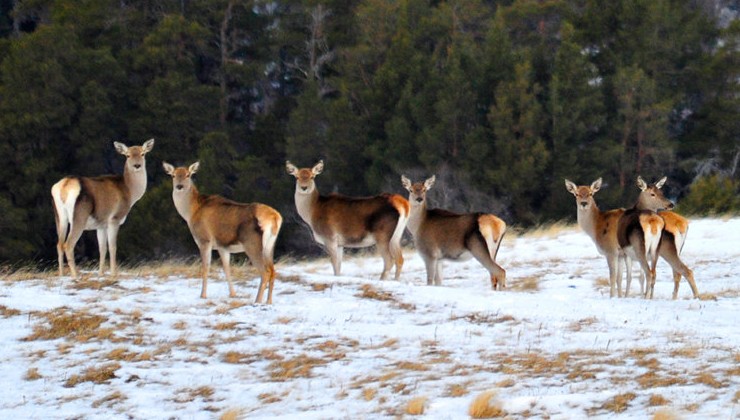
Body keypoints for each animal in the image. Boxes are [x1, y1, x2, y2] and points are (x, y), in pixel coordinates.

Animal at [50, 139, 155, 280]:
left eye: (143, 153)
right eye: (127, 155)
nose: (137, 165)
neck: (129, 191)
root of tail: (63, 187)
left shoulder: (101, 225)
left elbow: (102, 248)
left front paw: (101, 274)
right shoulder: (114, 219)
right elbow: (112, 247)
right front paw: (114, 274)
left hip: (59, 216)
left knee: (59, 244)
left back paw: (61, 275)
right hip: (79, 216)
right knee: (68, 244)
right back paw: (75, 276)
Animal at [163, 162, 282, 304]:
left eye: (188, 175)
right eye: (173, 175)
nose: (179, 186)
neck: (191, 212)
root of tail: (275, 217)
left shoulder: (205, 240)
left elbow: (205, 268)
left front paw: (203, 295)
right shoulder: (223, 246)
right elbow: (227, 268)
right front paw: (233, 294)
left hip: (252, 242)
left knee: (265, 272)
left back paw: (257, 301)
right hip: (270, 244)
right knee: (273, 271)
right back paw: (268, 301)